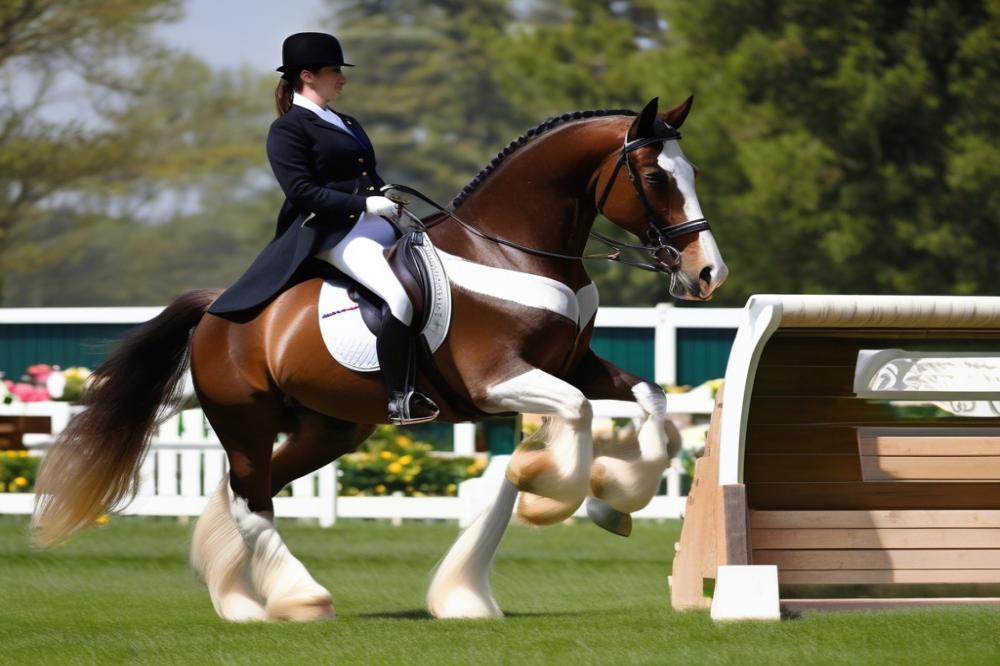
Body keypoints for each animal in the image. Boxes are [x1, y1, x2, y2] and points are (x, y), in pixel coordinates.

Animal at [33, 96, 728, 620]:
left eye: (694, 172)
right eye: (657, 178)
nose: (707, 274)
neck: (510, 251)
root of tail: (215, 311)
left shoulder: (573, 365)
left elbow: (651, 400)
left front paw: (613, 499)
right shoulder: (499, 381)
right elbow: (579, 412)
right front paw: (548, 493)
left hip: (330, 428)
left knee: (255, 488)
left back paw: (239, 599)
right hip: (245, 418)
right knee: (252, 499)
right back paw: (299, 598)